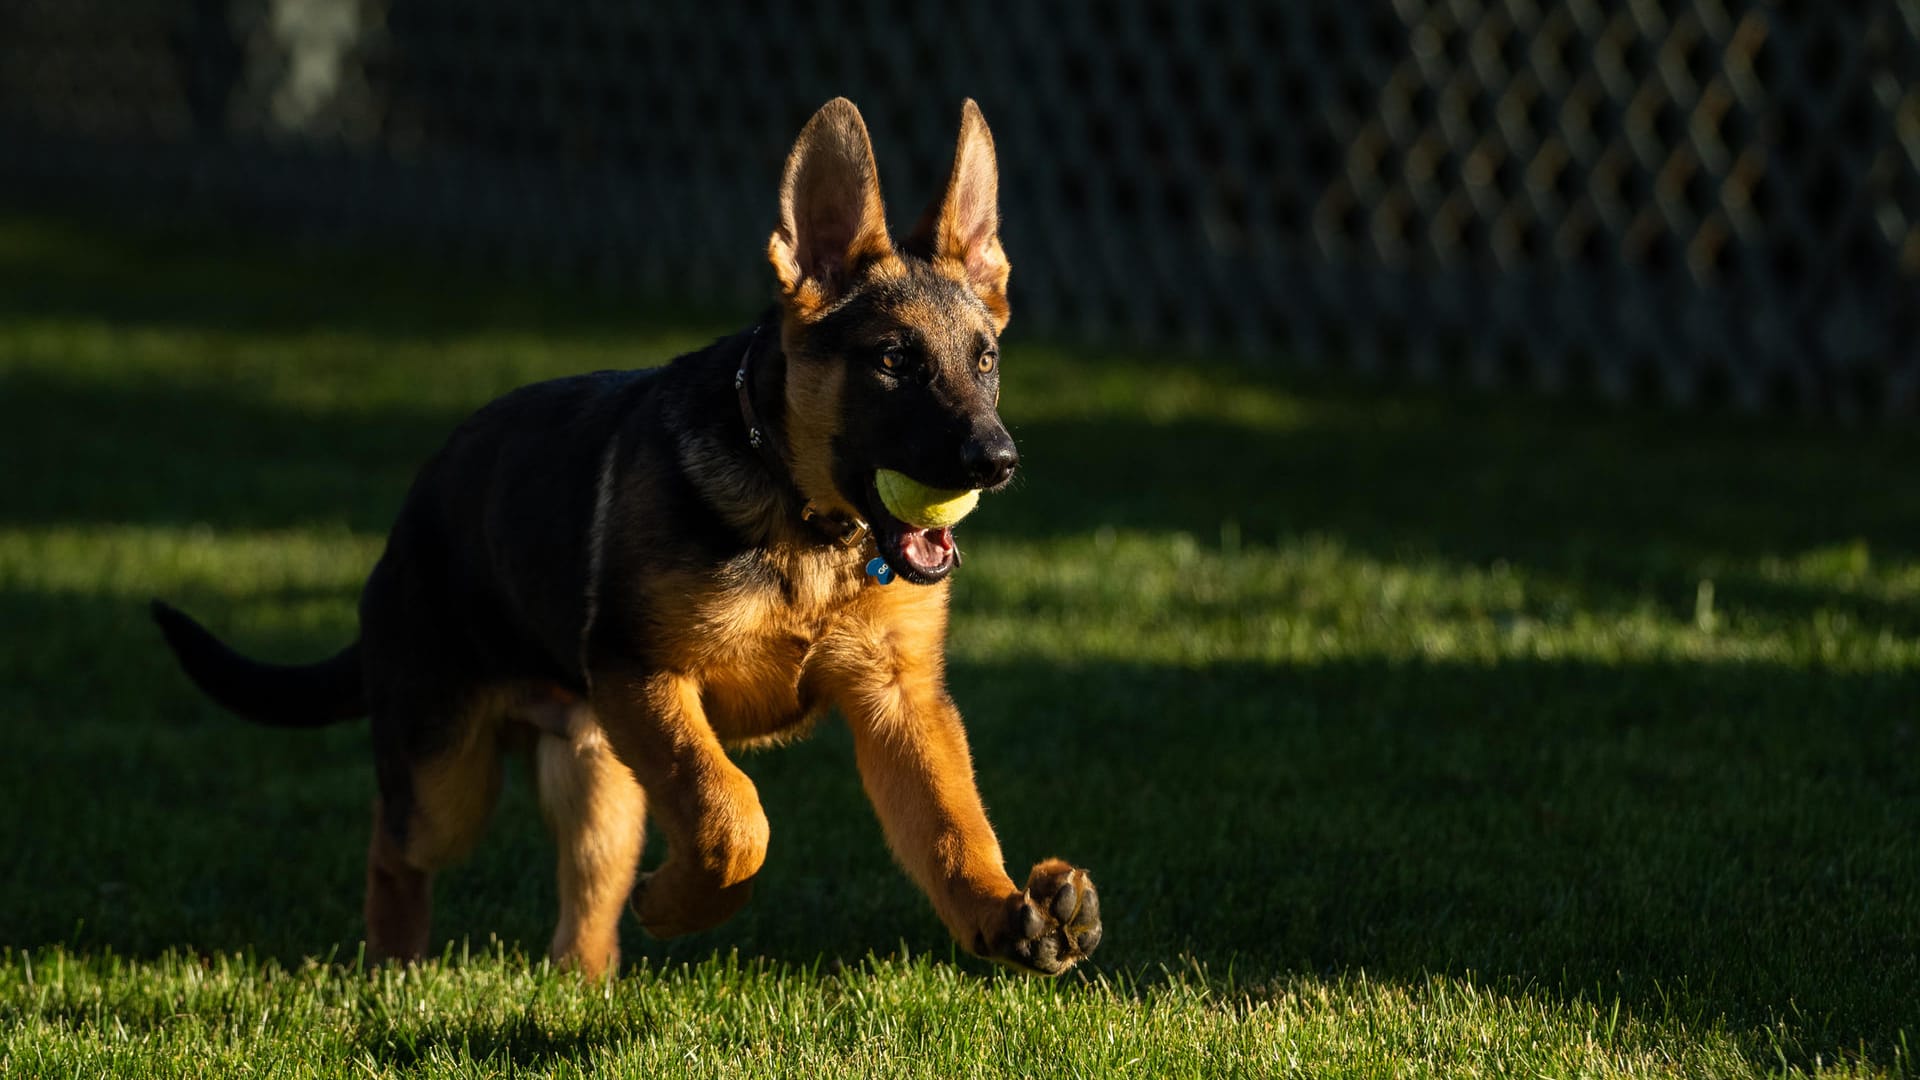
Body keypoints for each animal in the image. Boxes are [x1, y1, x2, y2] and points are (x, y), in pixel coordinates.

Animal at [149, 98, 1105, 976]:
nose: (998, 461)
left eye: (985, 360)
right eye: (894, 361)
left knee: (584, 898)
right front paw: (681, 904)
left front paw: (1005, 912)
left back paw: (585, 982)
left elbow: (951, 824)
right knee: (395, 842)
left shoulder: (898, 700)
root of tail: (407, 522)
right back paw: (394, 962)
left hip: (598, 774)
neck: (804, 525)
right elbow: (734, 813)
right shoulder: (646, 674)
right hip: (450, 772)